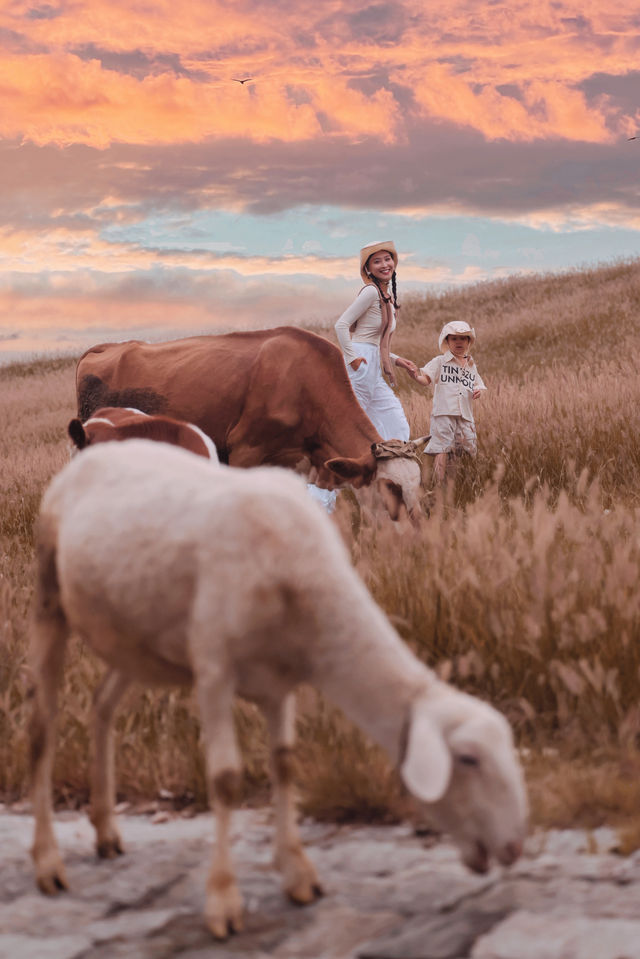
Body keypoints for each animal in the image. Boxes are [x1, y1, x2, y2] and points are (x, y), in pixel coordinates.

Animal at [30, 440, 528, 936]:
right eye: (468, 759)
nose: (514, 850)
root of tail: (99, 450)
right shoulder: (213, 668)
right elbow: (225, 779)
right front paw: (223, 900)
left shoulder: (279, 681)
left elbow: (285, 765)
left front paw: (298, 875)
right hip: (51, 598)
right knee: (45, 726)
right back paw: (48, 863)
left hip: (134, 638)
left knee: (101, 707)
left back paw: (106, 833)